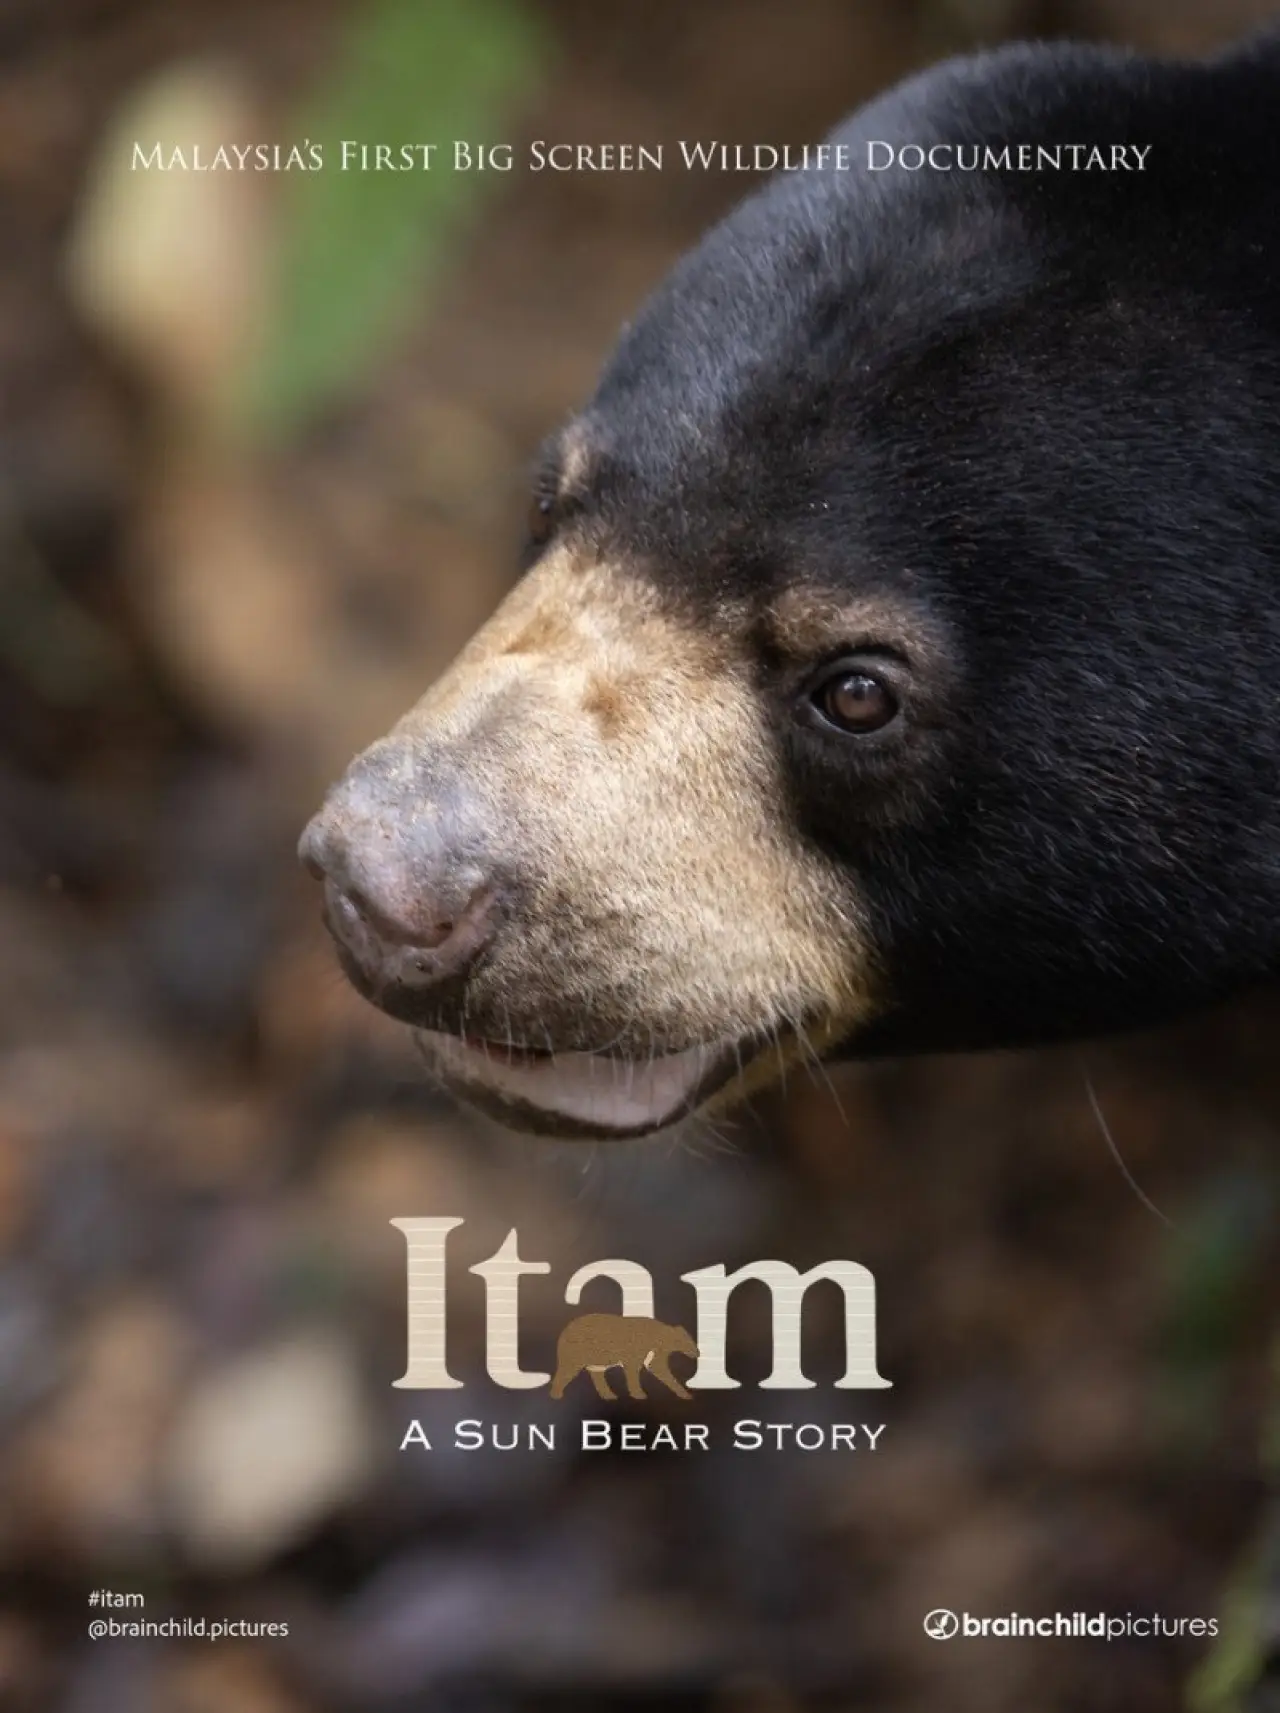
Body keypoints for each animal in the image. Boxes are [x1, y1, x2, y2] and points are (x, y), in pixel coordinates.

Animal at [548, 1314, 699, 1401]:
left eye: (691, 1339)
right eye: (686, 1341)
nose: (697, 1352)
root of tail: (564, 1330)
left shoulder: (655, 1352)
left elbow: (658, 1368)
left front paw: (685, 1394)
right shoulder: (637, 1347)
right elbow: (633, 1368)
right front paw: (640, 1394)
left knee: (597, 1373)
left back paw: (610, 1396)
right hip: (578, 1350)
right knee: (568, 1368)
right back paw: (556, 1394)